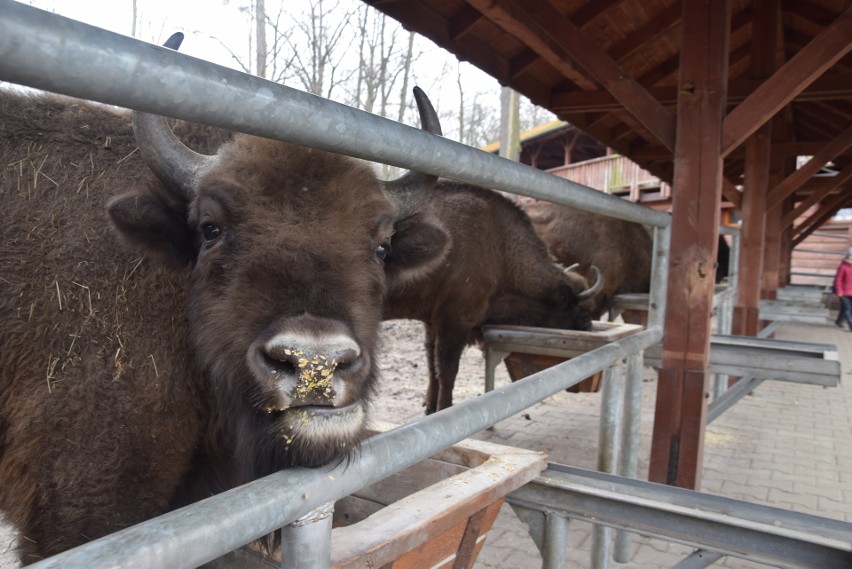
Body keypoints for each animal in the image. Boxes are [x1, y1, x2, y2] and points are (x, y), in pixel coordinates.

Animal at [382, 182, 604, 412]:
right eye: (579, 311)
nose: (588, 325)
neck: (500, 246)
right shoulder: (455, 323)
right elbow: (447, 371)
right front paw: (444, 407)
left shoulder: (432, 323)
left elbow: (432, 367)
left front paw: (430, 407)